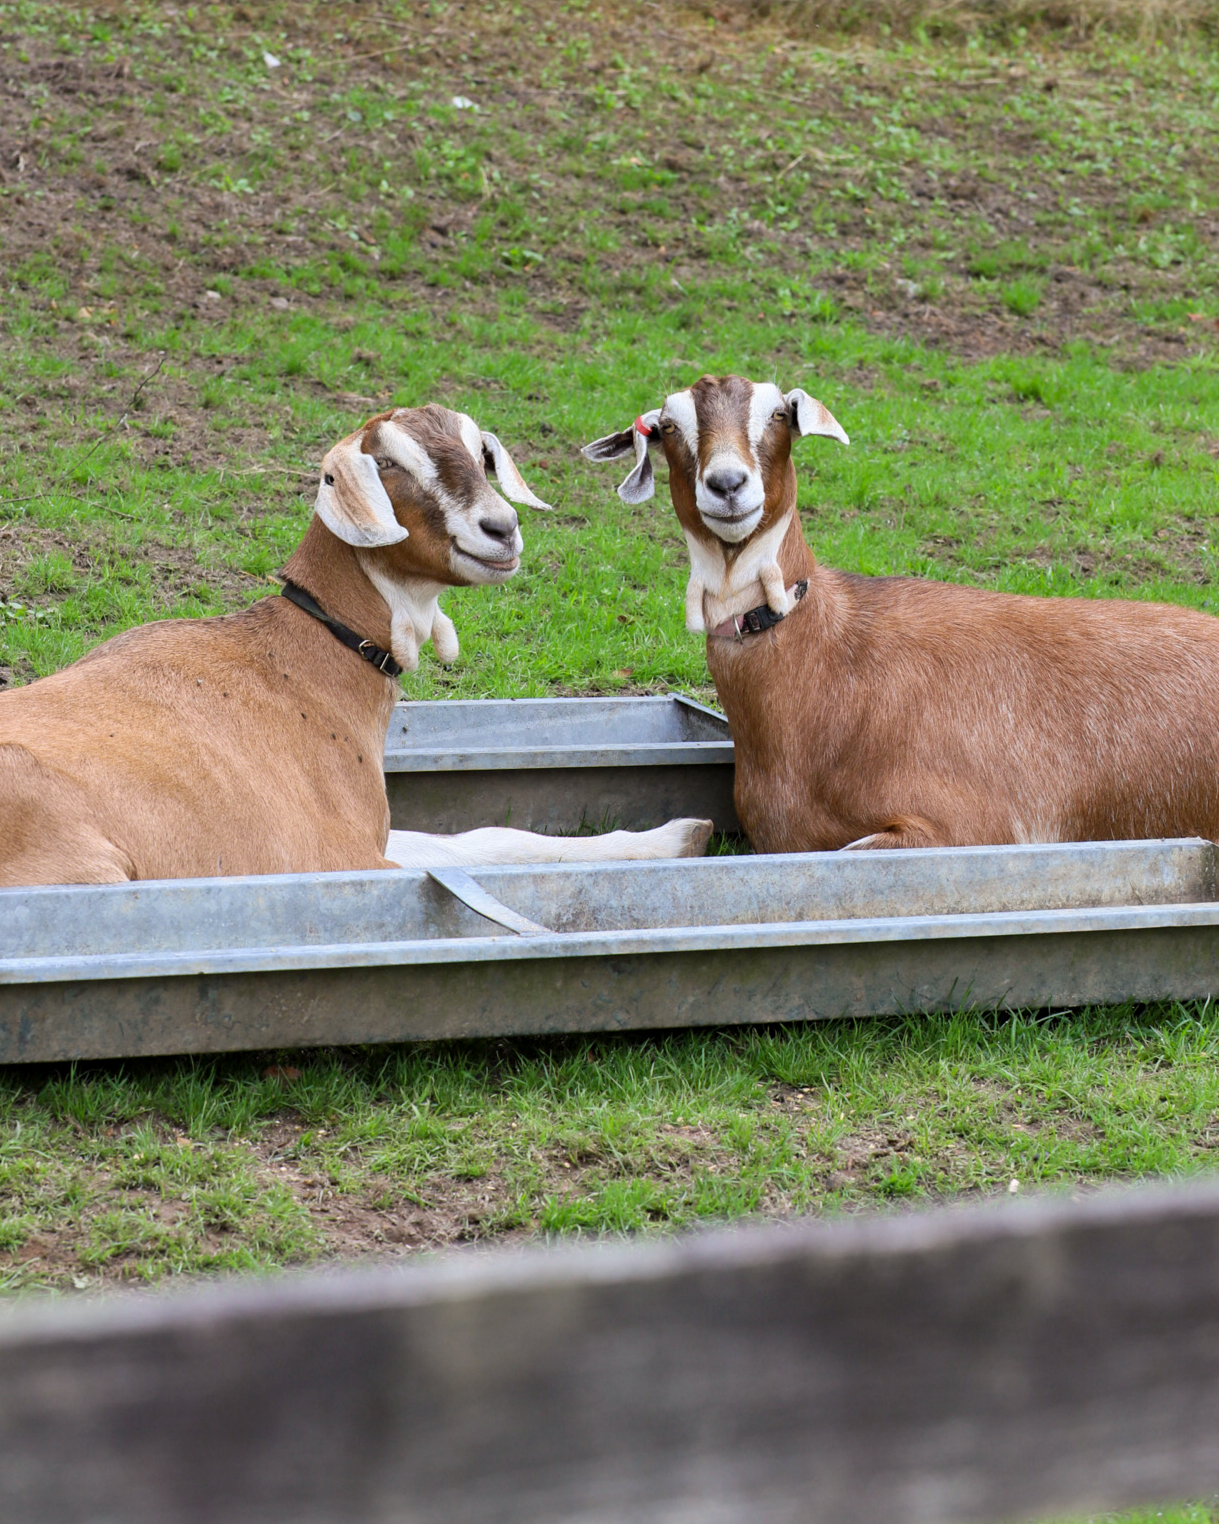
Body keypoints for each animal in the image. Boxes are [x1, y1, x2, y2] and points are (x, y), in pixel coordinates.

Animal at [0, 404, 710, 886]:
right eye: (389, 464)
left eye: (481, 455)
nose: (501, 528)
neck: (302, 661)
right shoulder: (329, 855)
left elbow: (480, 838)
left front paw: (679, 836)